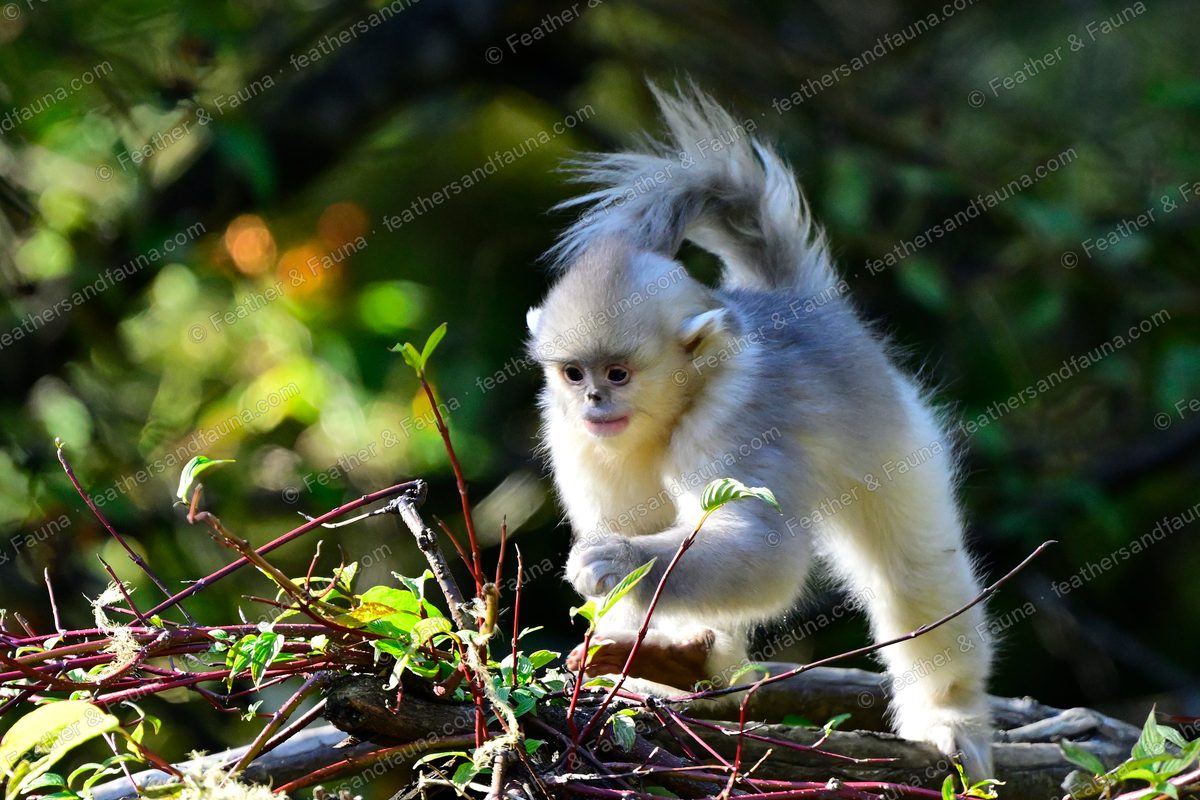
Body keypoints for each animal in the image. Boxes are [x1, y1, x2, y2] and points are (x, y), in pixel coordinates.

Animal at [525, 85, 994, 777]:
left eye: (618, 373)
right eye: (573, 372)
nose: (593, 401)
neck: (669, 414)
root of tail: (792, 297)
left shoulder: (734, 420)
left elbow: (763, 551)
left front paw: (616, 560)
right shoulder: (575, 441)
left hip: (898, 445)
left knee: (914, 576)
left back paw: (951, 719)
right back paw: (684, 666)